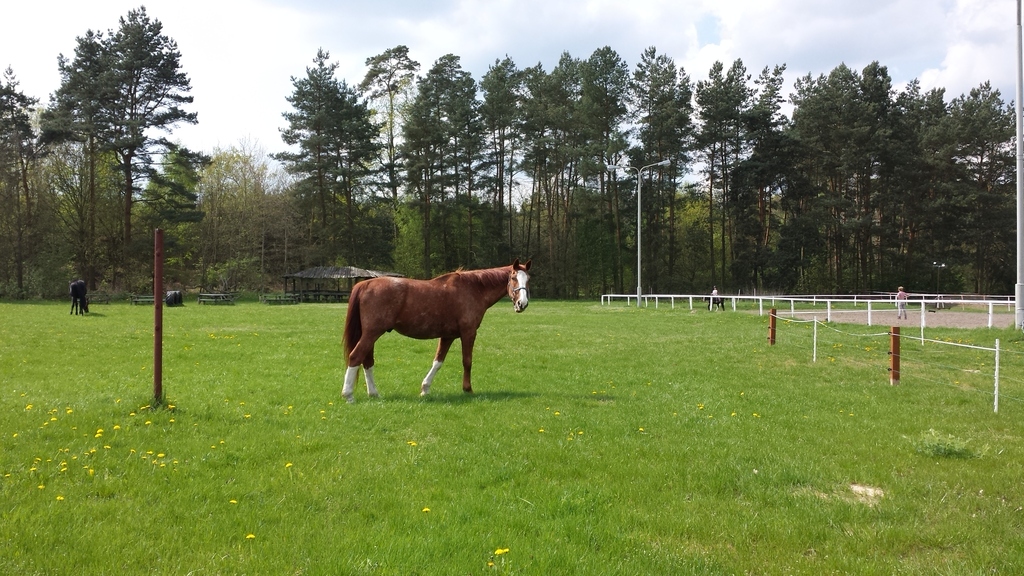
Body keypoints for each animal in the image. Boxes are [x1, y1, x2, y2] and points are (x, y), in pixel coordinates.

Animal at [341, 259, 532, 403]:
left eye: (528, 279)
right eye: (513, 278)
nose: (522, 304)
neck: (474, 288)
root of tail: (366, 283)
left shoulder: (447, 336)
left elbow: (438, 362)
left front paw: (425, 389)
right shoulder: (468, 333)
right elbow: (467, 361)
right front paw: (467, 389)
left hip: (370, 334)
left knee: (367, 361)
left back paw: (373, 393)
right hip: (372, 333)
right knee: (356, 357)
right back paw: (348, 395)